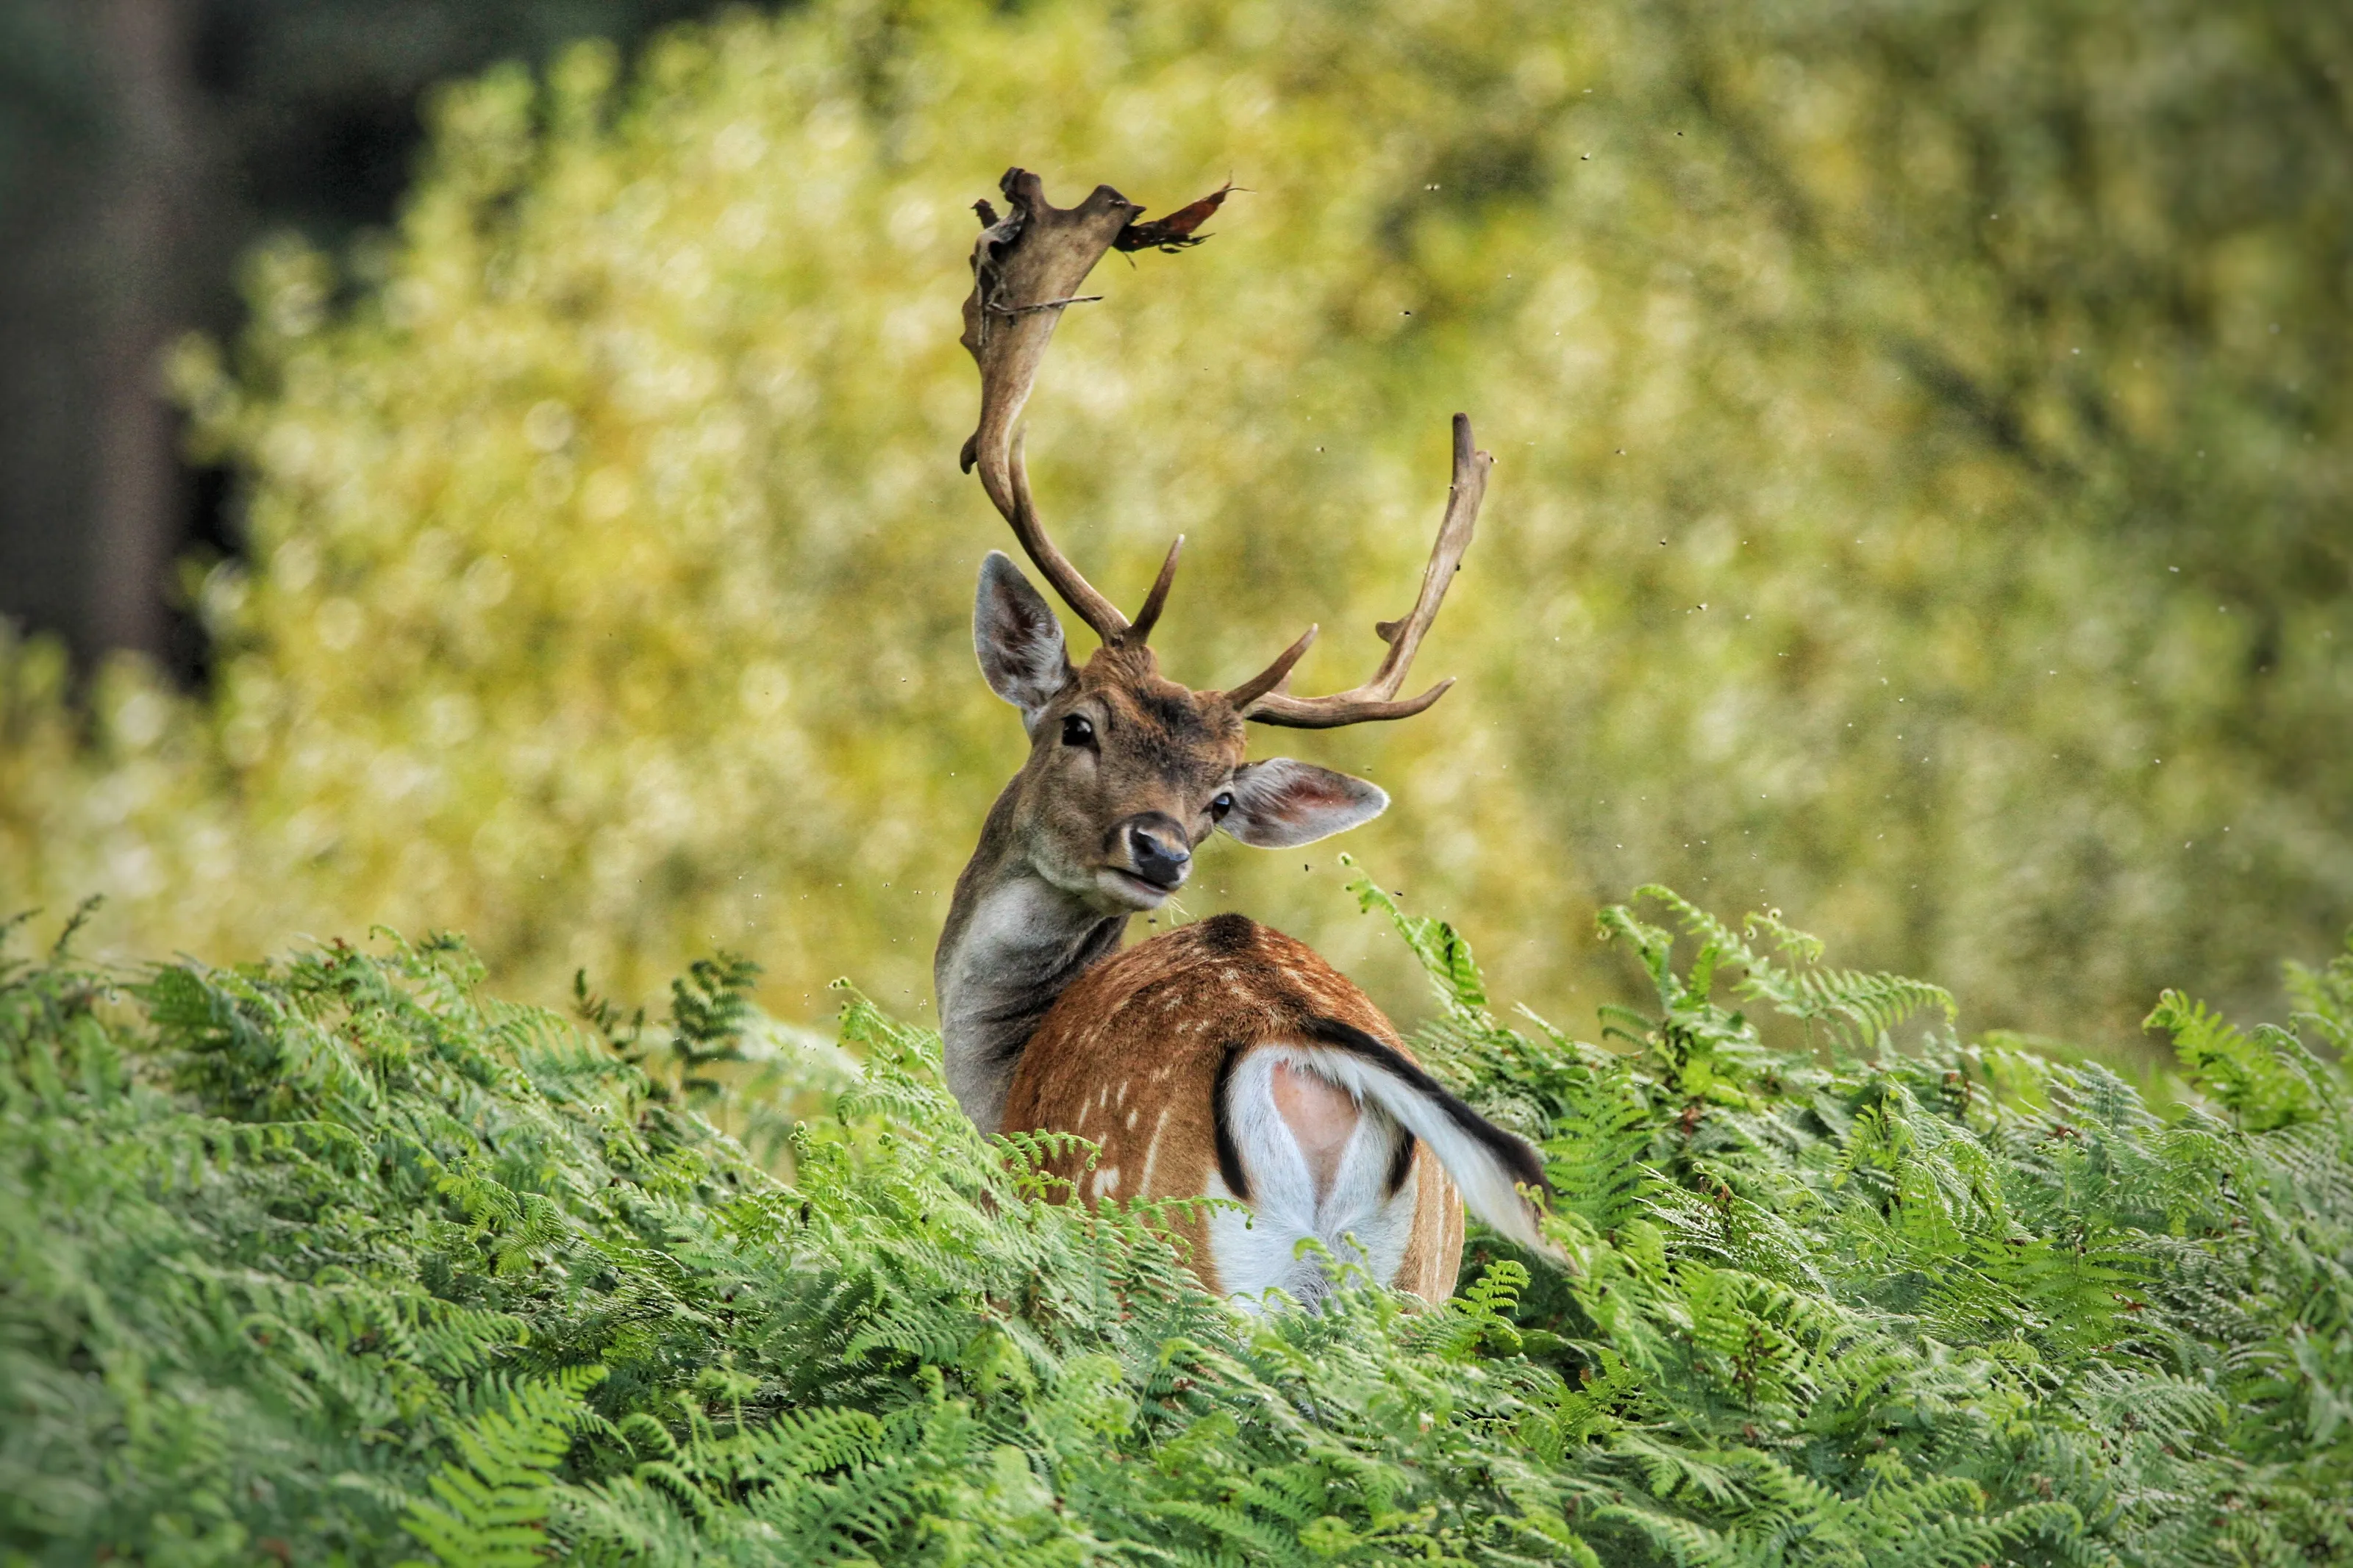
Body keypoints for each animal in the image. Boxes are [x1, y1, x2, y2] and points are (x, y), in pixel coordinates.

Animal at [934, 170, 1556, 1309]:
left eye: (1220, 797)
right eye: (1080, 726)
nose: (1161, 850)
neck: (996, 1081)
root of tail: (1308, 1055)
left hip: (1173, 1261)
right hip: (1417, 1281)